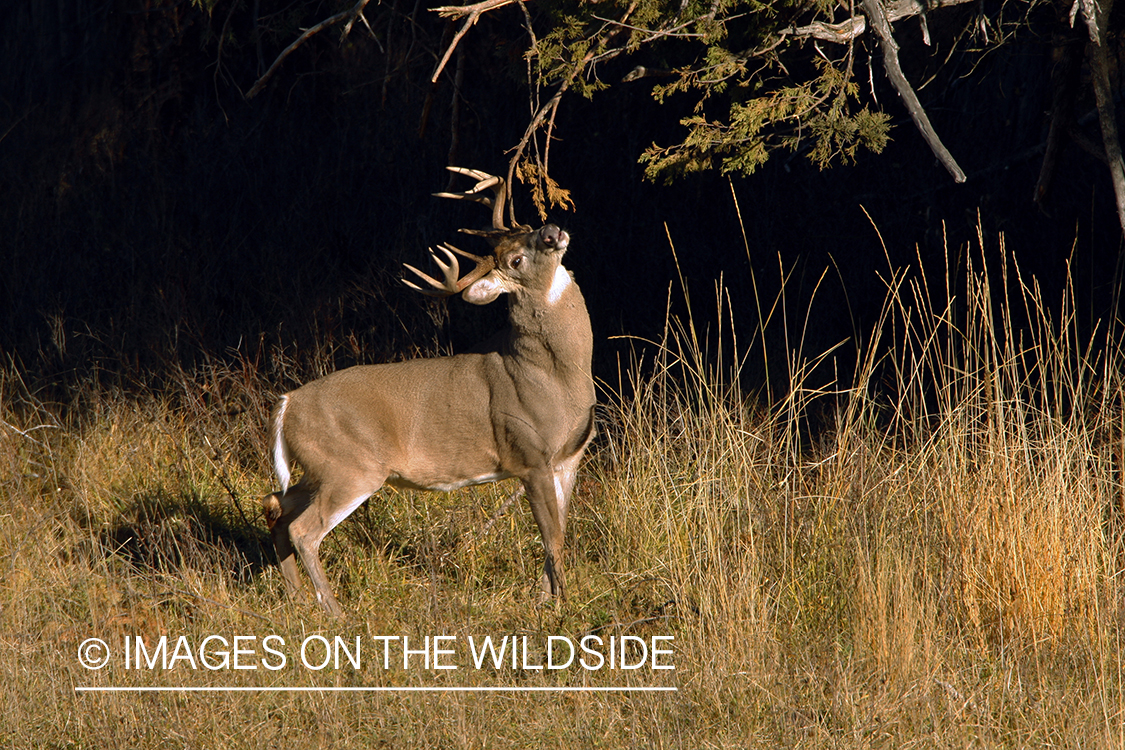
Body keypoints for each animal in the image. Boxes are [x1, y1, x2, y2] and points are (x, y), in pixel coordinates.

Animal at [261, 168, 598, 616]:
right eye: (515, 260)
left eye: (527, 227)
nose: (551, 231)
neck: (555, 376)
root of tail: (287, 404)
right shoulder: (530, 454)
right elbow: (554, 539)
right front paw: (567, 606)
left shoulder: (568, 459)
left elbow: (556, 536)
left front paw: (544, 602)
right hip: (351, 467)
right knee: (303, 529)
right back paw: (336, 612)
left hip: (319, 467)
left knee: (276, 506)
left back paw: (298, 599)